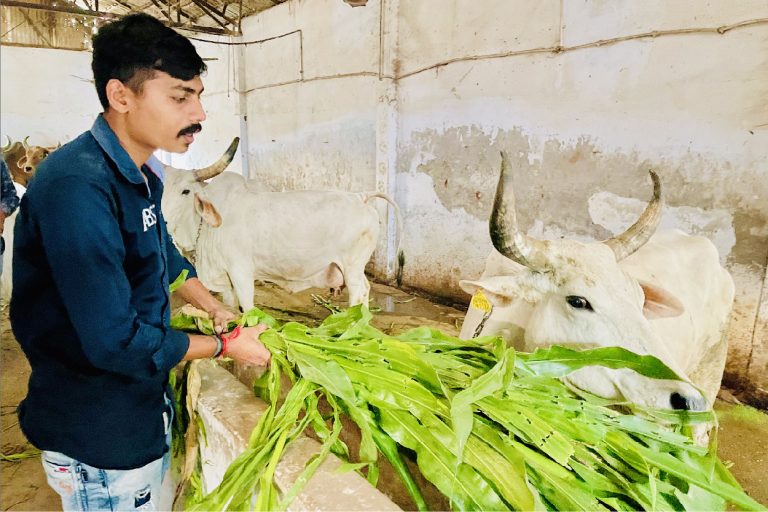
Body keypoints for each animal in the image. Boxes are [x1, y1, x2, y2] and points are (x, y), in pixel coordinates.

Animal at [162, 138, 401, 312]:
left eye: (186, 191)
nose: (162, 220)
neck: (203, 230)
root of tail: (360, 197)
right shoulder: (226, 281)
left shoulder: (241, 272)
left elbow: (248, 310)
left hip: (352, 266)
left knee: (358, 292)